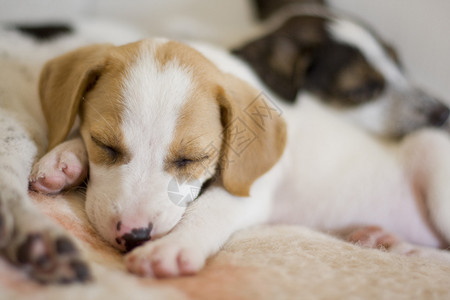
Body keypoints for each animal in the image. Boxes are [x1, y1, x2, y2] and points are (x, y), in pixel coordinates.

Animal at [30, 38, 450, 278]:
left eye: (192, 159)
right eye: (105, 145)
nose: (133, 235)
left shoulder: (250, 191)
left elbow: (208, 211)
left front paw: (173, 248)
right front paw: (63, 160)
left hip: (432, 155)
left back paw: (404, 247)